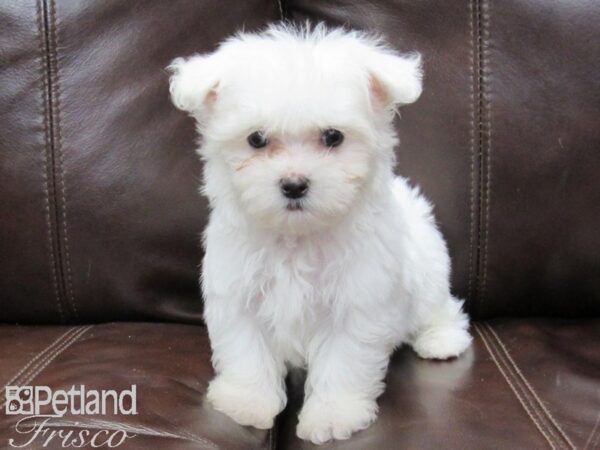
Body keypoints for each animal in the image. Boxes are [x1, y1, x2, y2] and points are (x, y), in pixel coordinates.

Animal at [166, 23, 472, 442]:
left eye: (333, 137)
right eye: (256, 139)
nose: (294, 185)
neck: (298, 237)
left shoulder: (357, 302)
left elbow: (343, 361)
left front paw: (333, 416)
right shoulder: (238, 293)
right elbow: (247, 350)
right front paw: (248, 401)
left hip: (429, 270)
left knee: (440, 306)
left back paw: (442, 340)